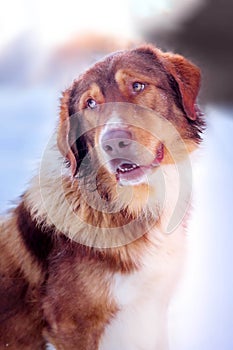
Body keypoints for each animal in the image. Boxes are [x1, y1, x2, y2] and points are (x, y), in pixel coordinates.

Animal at [0, 45, 204, 348]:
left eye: (138, 86)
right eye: (91, 104)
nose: (114, 142)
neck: (131, 203)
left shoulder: (152, 309)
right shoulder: (72, 326)